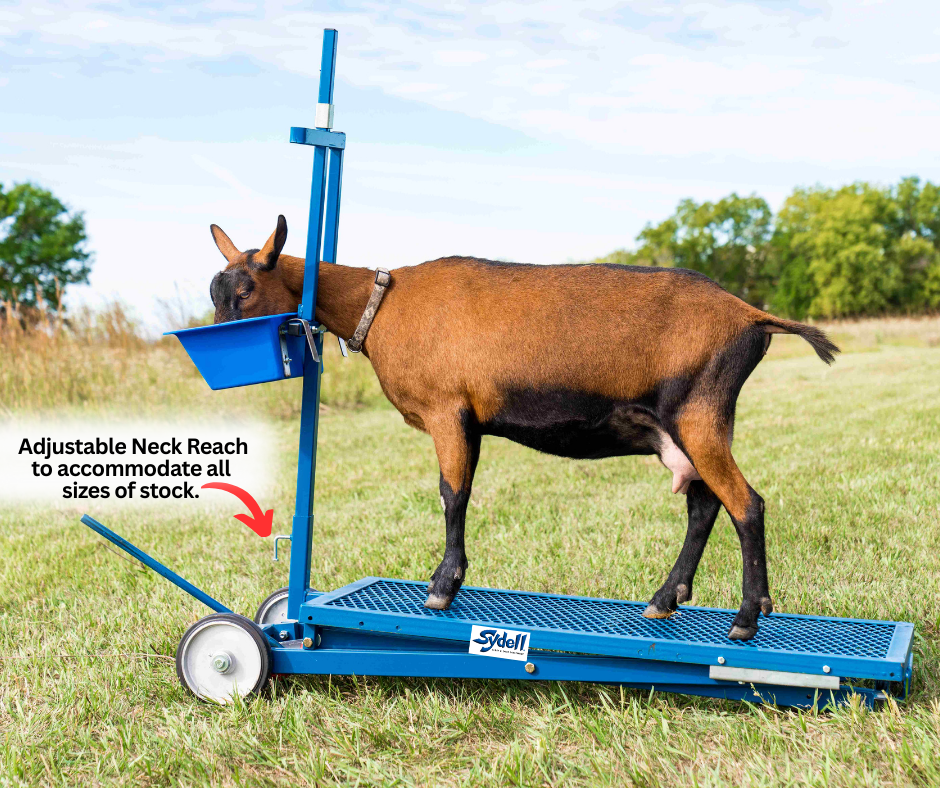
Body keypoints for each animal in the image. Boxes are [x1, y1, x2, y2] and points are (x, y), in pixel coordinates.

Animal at [209, 215, 839, 641]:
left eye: (244, 290)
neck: (382, 304)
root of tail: (752, 316)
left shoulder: (449, 412)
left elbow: (452, 495)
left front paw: (441, 588)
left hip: (700, 415)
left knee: (746, 504)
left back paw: (746, 619)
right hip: (683, 430)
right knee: (705, 505)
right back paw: (666, 599)